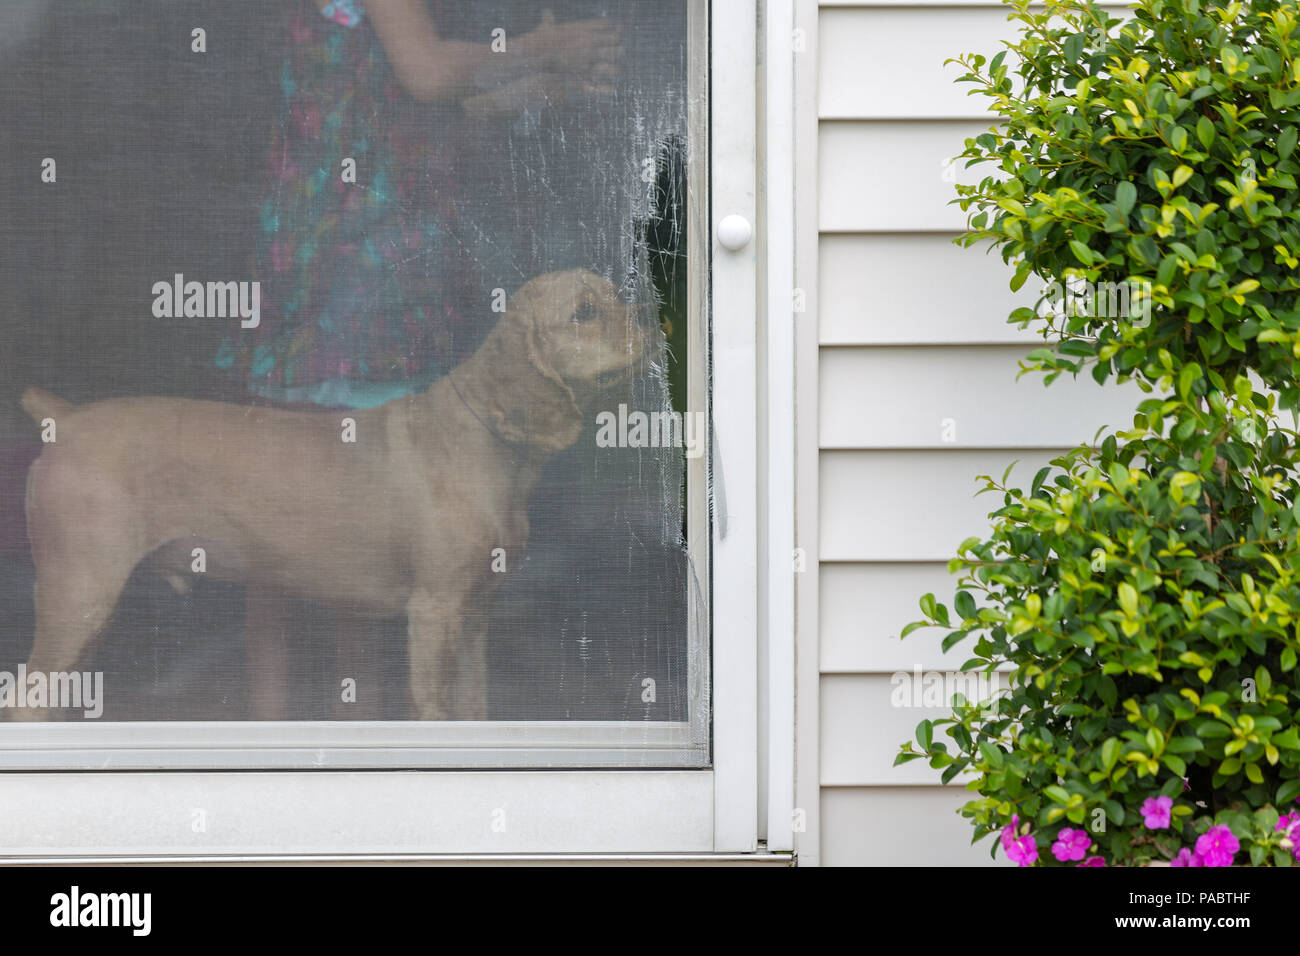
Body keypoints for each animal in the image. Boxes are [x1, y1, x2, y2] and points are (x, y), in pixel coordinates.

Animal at [17, 267, 647, 717]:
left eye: (616, 294)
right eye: (584, 312)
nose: (646, 320)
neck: (488, 443)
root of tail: (66, 419)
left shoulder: (475, 616)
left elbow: (476, 709)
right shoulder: (434, 612)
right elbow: (433, 710)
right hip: (78, 594)